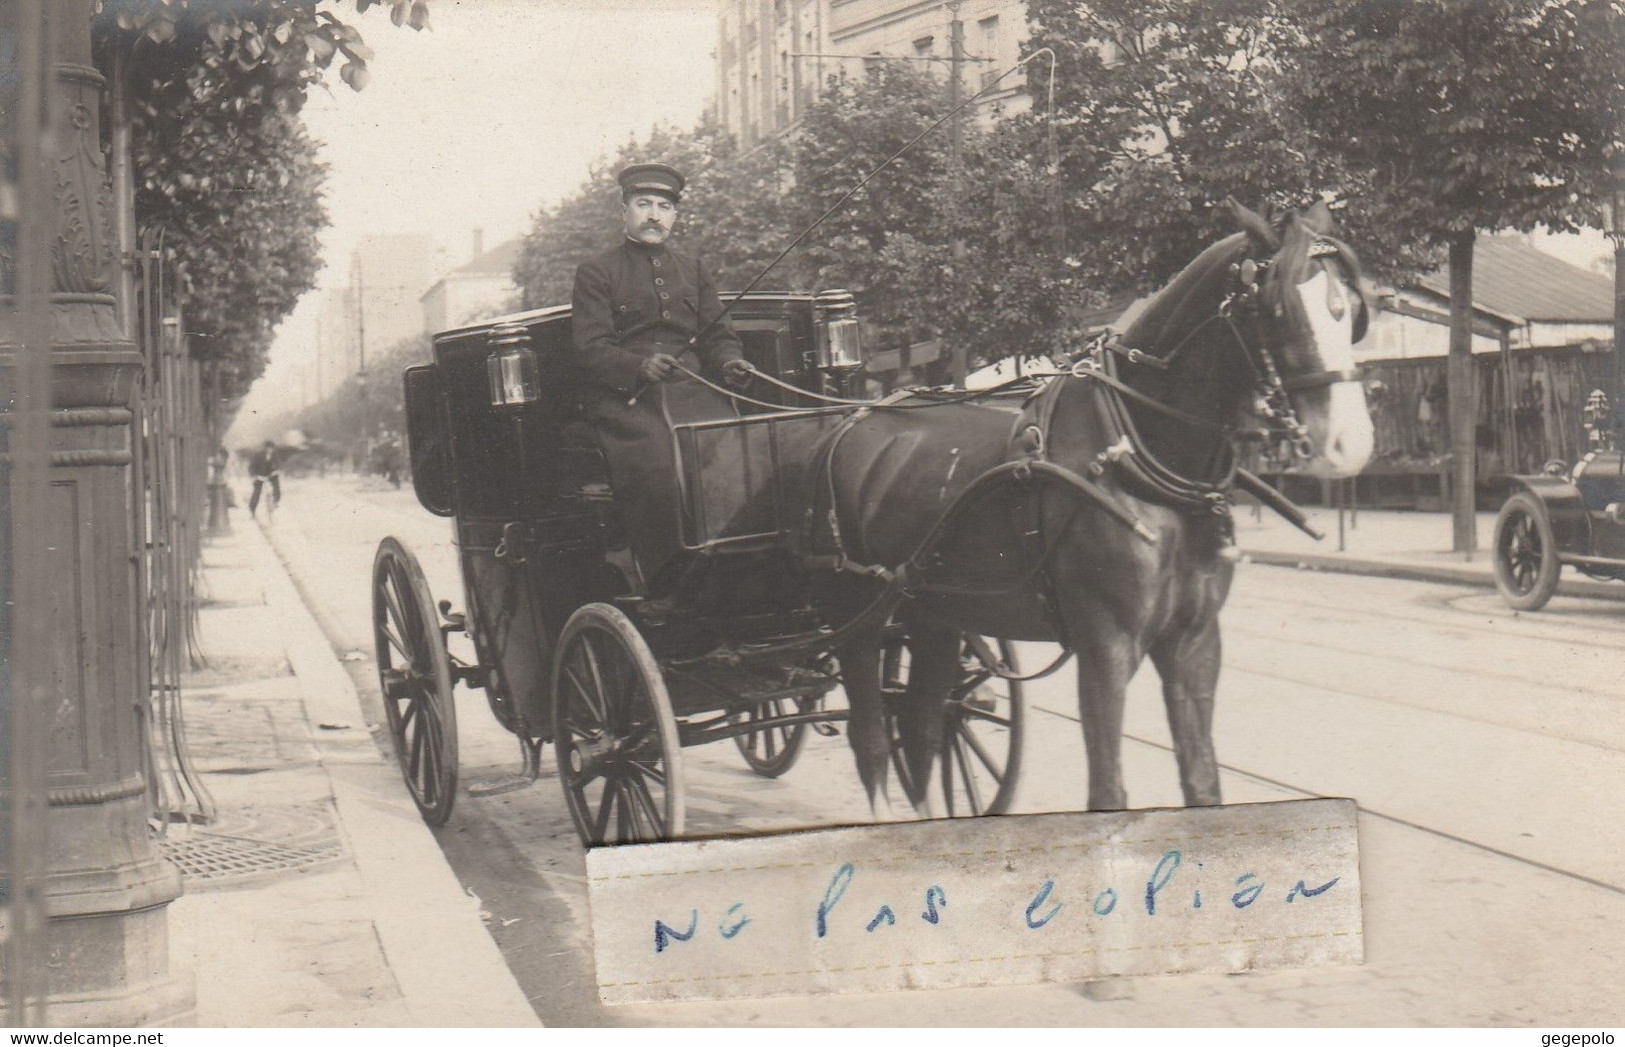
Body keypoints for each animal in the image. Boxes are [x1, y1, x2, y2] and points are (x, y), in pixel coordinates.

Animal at [809, 198, 1371, 819]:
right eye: (1276, 309)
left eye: (1352, 311)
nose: (1348, 443)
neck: (1138, 452)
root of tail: (851, 421)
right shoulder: (1106, 644)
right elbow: (1107, 793)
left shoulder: (1195, 641)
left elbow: (1202, 784)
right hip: (859, 615)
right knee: (871, 738)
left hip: (935, 613)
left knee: (922, 725)